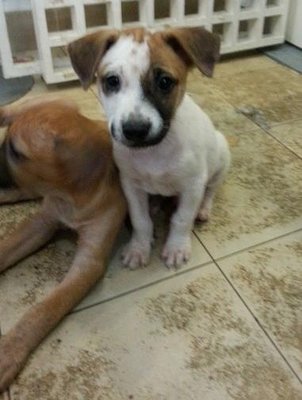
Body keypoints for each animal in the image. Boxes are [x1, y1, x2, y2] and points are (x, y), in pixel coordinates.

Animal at [0, 98, 126, 392]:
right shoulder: (42, 223)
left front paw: (8, 351)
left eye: (16, 151)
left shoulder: (89, 261)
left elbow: (44, 309)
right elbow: (5, 248)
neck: (70, 197)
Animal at [68, 25, 229, 268]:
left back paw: (203, 209)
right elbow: (140, 220)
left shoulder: (192, 185)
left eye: (164, 82)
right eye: (112, 81)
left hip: (221, 156)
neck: (153, 152)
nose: (135, 130)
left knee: (211, 189)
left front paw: (176, 247)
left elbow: (181, 219)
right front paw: (139, 248)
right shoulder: (130, 185)